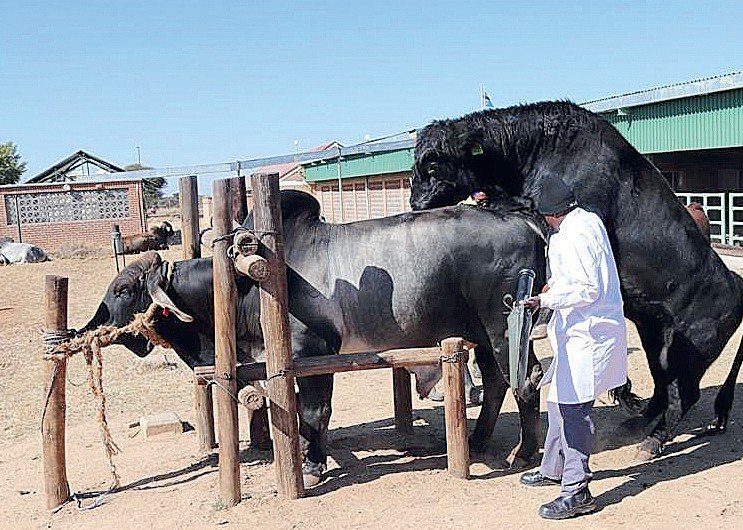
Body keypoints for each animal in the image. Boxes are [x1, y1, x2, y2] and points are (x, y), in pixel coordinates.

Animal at [81, 190, 547, 486]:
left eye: (123, 290)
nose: (87, 329)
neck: (246, 284)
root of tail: (521, 219)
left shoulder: (314, 352)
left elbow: (314, 413)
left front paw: (311, 464)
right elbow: (303, 413)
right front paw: (310, 456)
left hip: (505, 328)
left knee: (526, 380)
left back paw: (524, 453)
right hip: (481, 335)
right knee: (497, 381)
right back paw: (478, 440)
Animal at [409, 101, 743, 459]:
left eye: (433, 166)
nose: (415, 204)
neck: (541, 151)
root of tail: (735, 282)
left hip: (690, 351)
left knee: (684, 394)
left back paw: (652, 441)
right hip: (655, 333)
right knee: (663, 383)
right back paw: (638, 421)